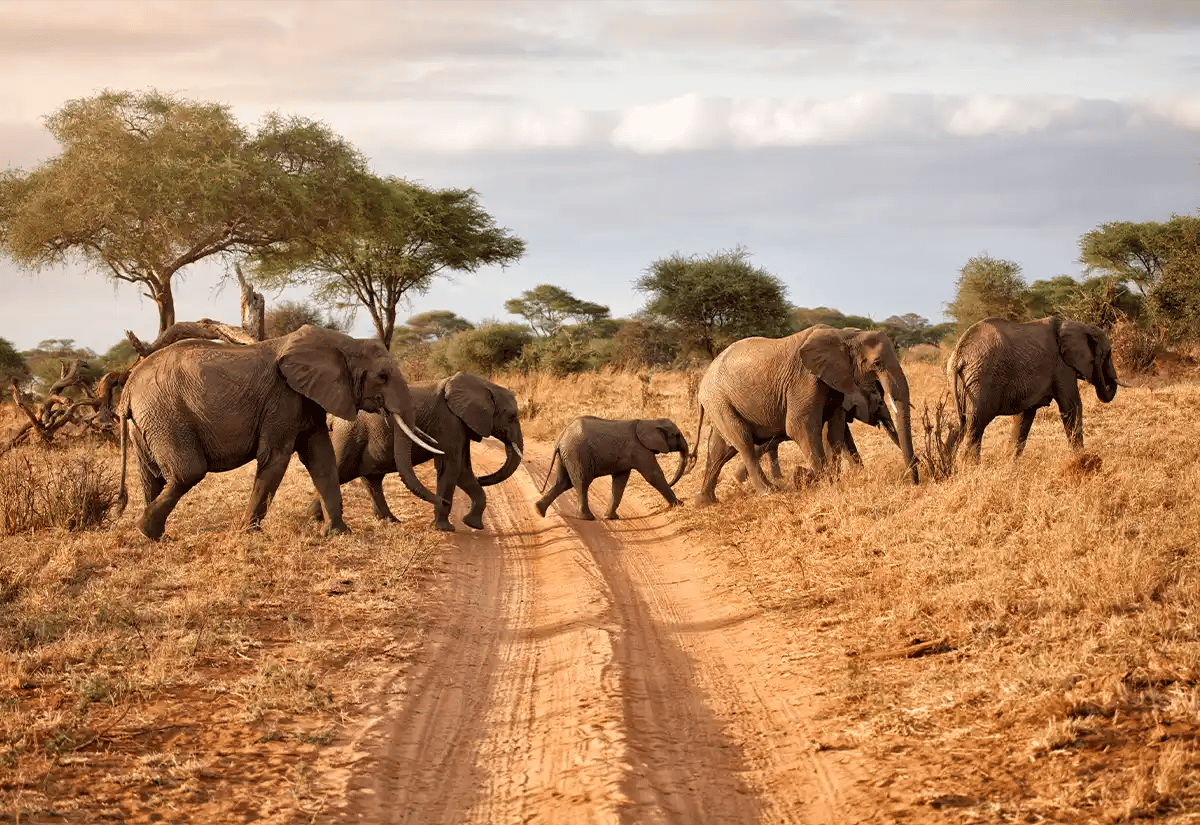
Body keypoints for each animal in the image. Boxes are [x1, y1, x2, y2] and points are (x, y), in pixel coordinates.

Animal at [115, 324, 441, 541]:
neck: (341, 343)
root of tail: (128, 388)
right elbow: (276, 457)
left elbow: (322, 459)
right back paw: (147, 531)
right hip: (167, 416)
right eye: (382, 376)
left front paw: (338, 533)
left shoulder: (307, 399)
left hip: (147, 423)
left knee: (152, 477)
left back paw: (154, 536)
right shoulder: (282, 398)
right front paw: (247, 533)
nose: (444, 507)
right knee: (187, 473)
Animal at [317, 372, 524, 532]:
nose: (483, 478)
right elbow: (451, 467)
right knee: (340, 471)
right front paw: (444, 528)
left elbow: (463, 471)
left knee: (371, 480)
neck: (484, 385)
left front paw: (473, 525)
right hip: (348, 436)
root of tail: (332, 418)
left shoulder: (460, 425)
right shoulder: (448, 422)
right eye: (513, 417)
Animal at [535, 416, 688, 520]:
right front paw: (680, 504)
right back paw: (588, 518)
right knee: (582, 482)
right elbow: (654, 475)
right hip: (577, 453)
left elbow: (619, 483)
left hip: (566, 455)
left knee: (563, 483)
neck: (649, 421)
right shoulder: (639, 450)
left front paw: (610, 517)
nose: (672, 482)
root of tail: (561, 437)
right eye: (677, 435)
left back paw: (539, 511)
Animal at [693, 325, 917, 505]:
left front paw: (830, 478)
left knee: (720, 449)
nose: (914, 482)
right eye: (877, 363)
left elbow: (835, 432)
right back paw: (770, 491)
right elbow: (801, 427)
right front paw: (816, 480)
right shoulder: (804, 379)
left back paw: (705, 502)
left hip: (720, 404)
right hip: (719, 401)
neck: (844, 335)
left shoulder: (834, 383)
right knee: (743, 443)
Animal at [946, 316, 1123, 460]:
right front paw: (1082, 460)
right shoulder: (1061, 367)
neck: (1075, 325)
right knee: (975, 426)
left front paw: (1011, 464)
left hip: (964, 384)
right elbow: (1071, 407)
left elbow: (1024, 417)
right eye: (1108, 354)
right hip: (982, 380)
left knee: (958, 425)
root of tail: (958, 357)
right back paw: (972, 468)